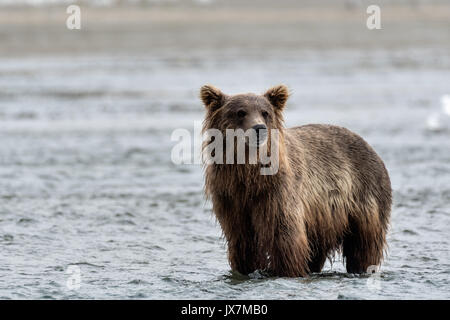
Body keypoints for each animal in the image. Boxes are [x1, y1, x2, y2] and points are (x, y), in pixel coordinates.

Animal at [200, 84, 390, 276]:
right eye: (240, 112)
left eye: (265, 112)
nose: (259, 128)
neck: (249, 176)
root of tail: (369, 146)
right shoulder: (231, 198)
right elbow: (242, 240)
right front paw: (245, 268)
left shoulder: (276, 193)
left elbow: (284, 237)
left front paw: (286, 270)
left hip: (363, 197)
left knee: (364, 246)